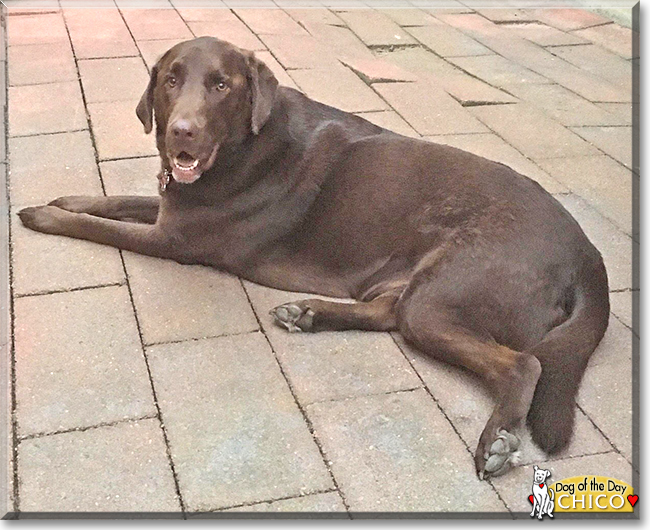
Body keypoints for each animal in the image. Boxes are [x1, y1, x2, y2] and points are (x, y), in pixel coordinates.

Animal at [19, 36, 608, 474]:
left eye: (220, 85)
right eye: (170, 80)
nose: (180, 132)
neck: (243, 146)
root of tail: (587, 252)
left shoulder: (175, 240)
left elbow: (97, 226)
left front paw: (44, 215)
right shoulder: (171, 210)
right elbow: (113, 199)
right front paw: (69, 197)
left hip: (442, 296)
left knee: (521, 362)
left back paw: (499, 440)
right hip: (416, 292)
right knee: (386, 312)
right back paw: (307, 313)